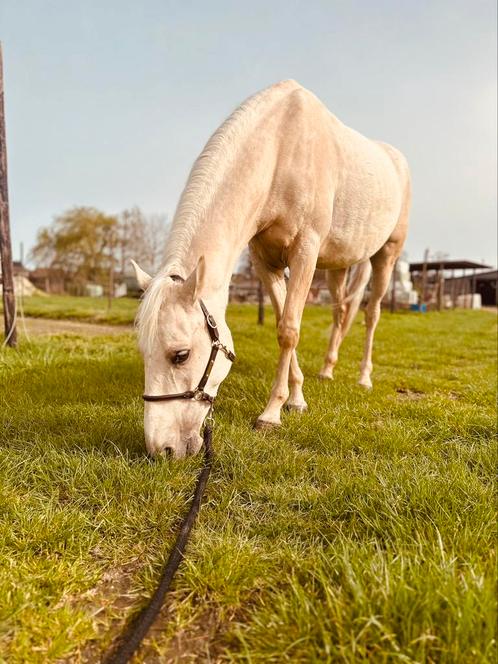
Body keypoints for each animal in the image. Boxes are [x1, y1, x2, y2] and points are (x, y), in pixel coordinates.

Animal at [132, 80, 412, 456]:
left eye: (181, 355)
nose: (161, 449)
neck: (280, 150)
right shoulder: (265, 260)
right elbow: (282, 321)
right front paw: (296, 398)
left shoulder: (305, 251)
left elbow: (289, 330)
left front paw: (272, 413)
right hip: (338, 266)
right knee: (341, 310)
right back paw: (327, 370)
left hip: (386, 256)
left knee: (371, 314)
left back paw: (364, 377)